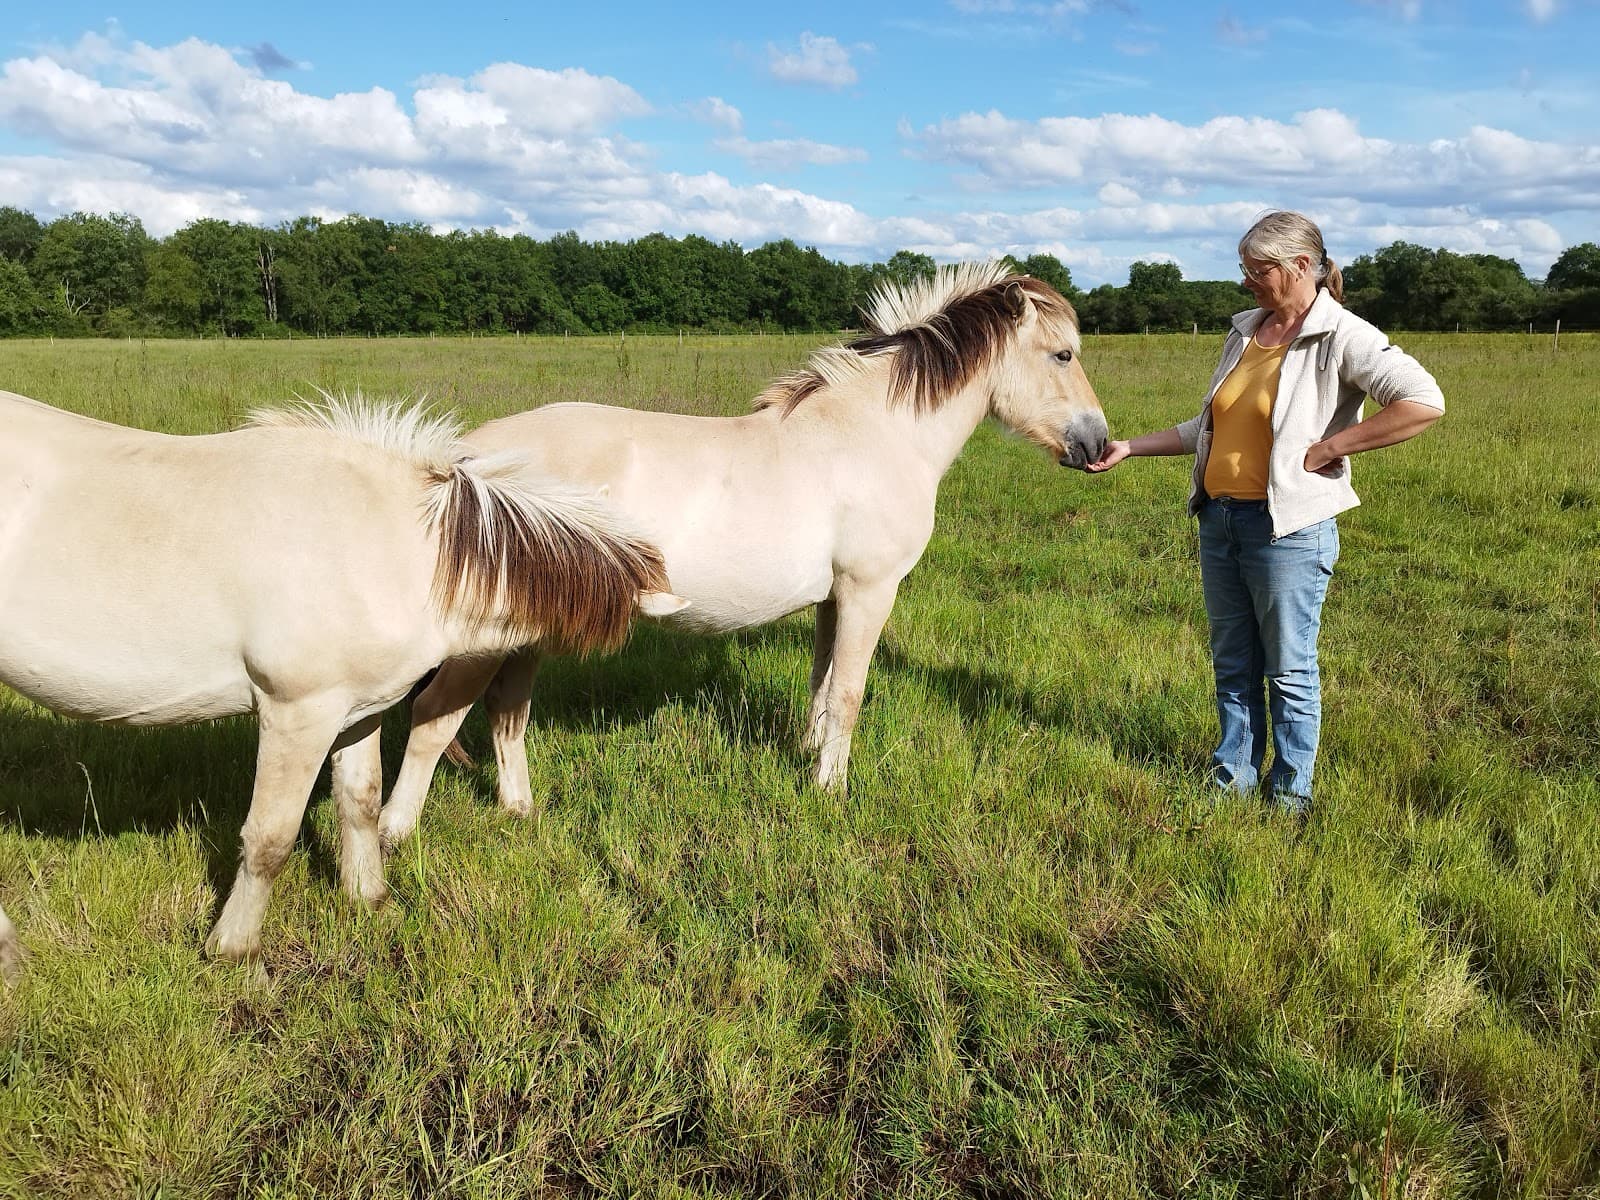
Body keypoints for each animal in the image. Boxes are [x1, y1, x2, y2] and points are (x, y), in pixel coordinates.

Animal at [0, 391, 681, 979]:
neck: (394, 547)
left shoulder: (359, 712)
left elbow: (361, 801)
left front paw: (370, 900)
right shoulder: (297, 713)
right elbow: (270, 838)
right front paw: (234, 947)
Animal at [376, 262, 1108, 848]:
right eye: (1063, 355)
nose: (1099, 445)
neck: (874, 435)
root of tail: (463, 464)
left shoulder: (833, 600)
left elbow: (821, 684)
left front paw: (810, 759)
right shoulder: (869, 591)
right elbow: (848, 692)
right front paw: (831, 792)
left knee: (506, 713)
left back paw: (519, 810)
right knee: (434, 717)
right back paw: (393, 838)